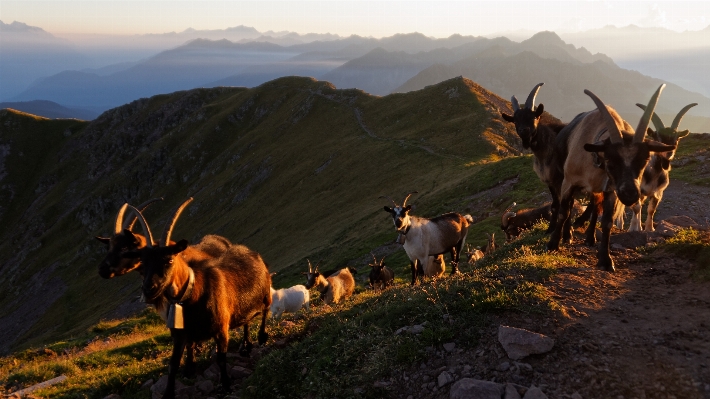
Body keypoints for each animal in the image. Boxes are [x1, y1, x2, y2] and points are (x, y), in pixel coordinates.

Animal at [552, 84, 680, 272]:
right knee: (569, 206)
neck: (595, 159)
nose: (629, 194)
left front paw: (605, 260)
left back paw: (590, 238)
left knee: (595, 207)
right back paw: (567, 235)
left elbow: (607, 222)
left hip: (598, 190)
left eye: (645, 160)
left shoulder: (611, 190)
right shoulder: (569, 182)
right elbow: (563, 211)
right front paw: (553, 244)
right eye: (610, 160)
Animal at [632, 103, 700, 233]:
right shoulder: (638, 190)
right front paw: (635, 229)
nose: (669, 152)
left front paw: (650, 228)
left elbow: (651, 210)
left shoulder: (658, 192)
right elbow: (636, 207)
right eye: (657, 137)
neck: (653, 173)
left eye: (677, 138)